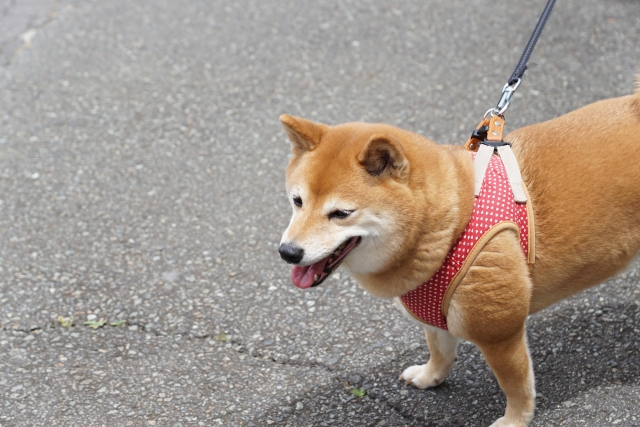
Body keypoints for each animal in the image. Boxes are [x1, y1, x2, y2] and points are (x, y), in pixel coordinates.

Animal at [276, 77, 640, 427]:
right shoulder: (434, 313)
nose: (287, 252)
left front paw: (515, 420)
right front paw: (430, 376)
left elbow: (516, 385)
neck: (454, 223)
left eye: (341, 213)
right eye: (297, 201)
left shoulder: (500, 332)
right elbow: (440, 351)